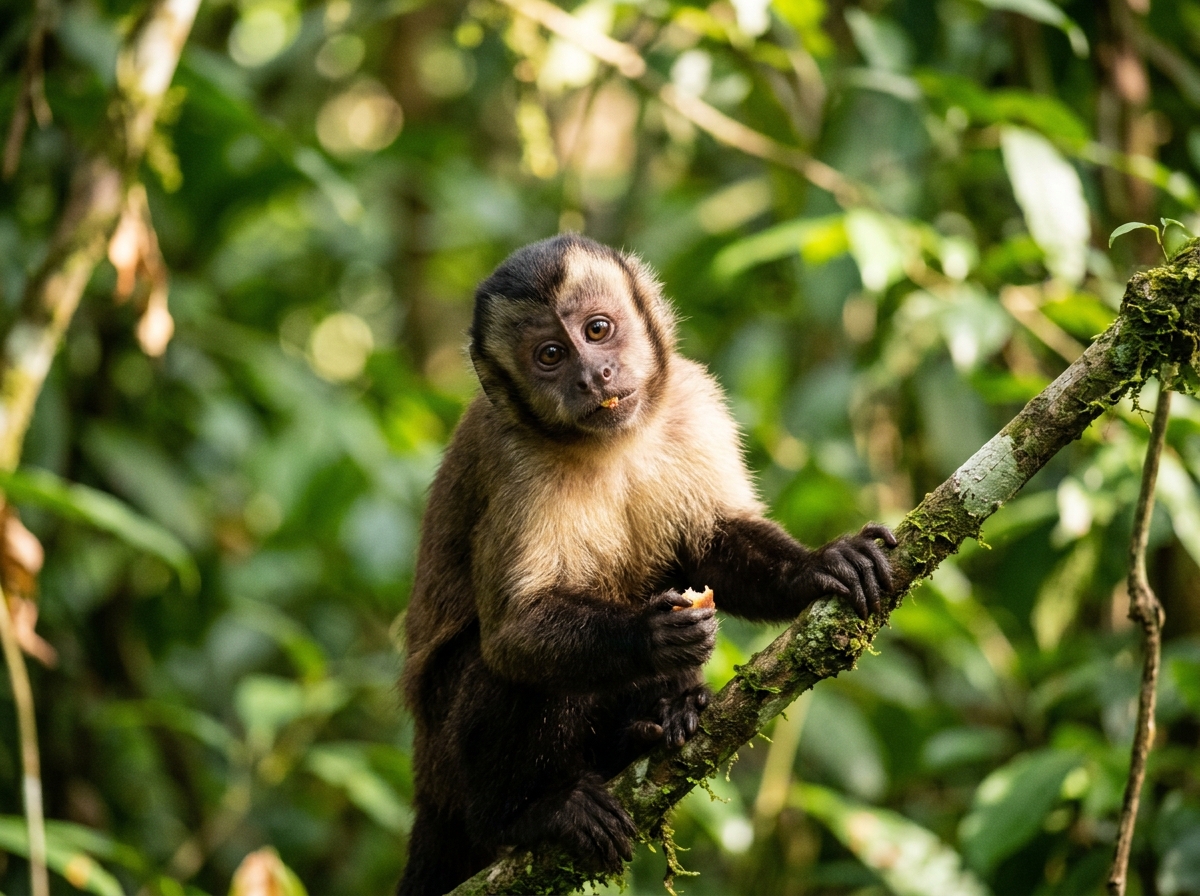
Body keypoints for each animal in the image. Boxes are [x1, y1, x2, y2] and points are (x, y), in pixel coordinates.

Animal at [396, 233, 895, 895]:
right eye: (550, 355)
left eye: (598, 329)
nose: (594, 375)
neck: (611, 442)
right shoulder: (515, 461)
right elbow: (512, 635)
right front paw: (652, 635)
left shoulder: (693, 398)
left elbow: (712, 544)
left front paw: (821, 565)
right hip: (448, 768)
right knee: (500, 670)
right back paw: (527, 813)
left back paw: (659, 717)